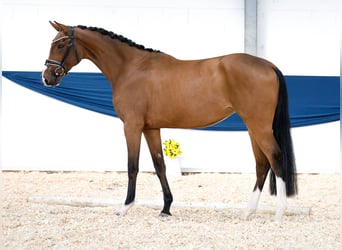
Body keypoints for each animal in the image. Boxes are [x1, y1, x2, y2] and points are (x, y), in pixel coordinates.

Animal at [42, 21, 296, 221]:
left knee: (275, 157)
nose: (47, 78)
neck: (130, 68)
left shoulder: (132, 126)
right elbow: (159, 166)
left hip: (259, 126)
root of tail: (269, 65)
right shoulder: (151, 128)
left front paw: (125, 207)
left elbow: (132, 166)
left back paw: (280, 212)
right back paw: (248, 212)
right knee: (261, 164)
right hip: (253, 127)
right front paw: (166, 208)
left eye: (61, 45)